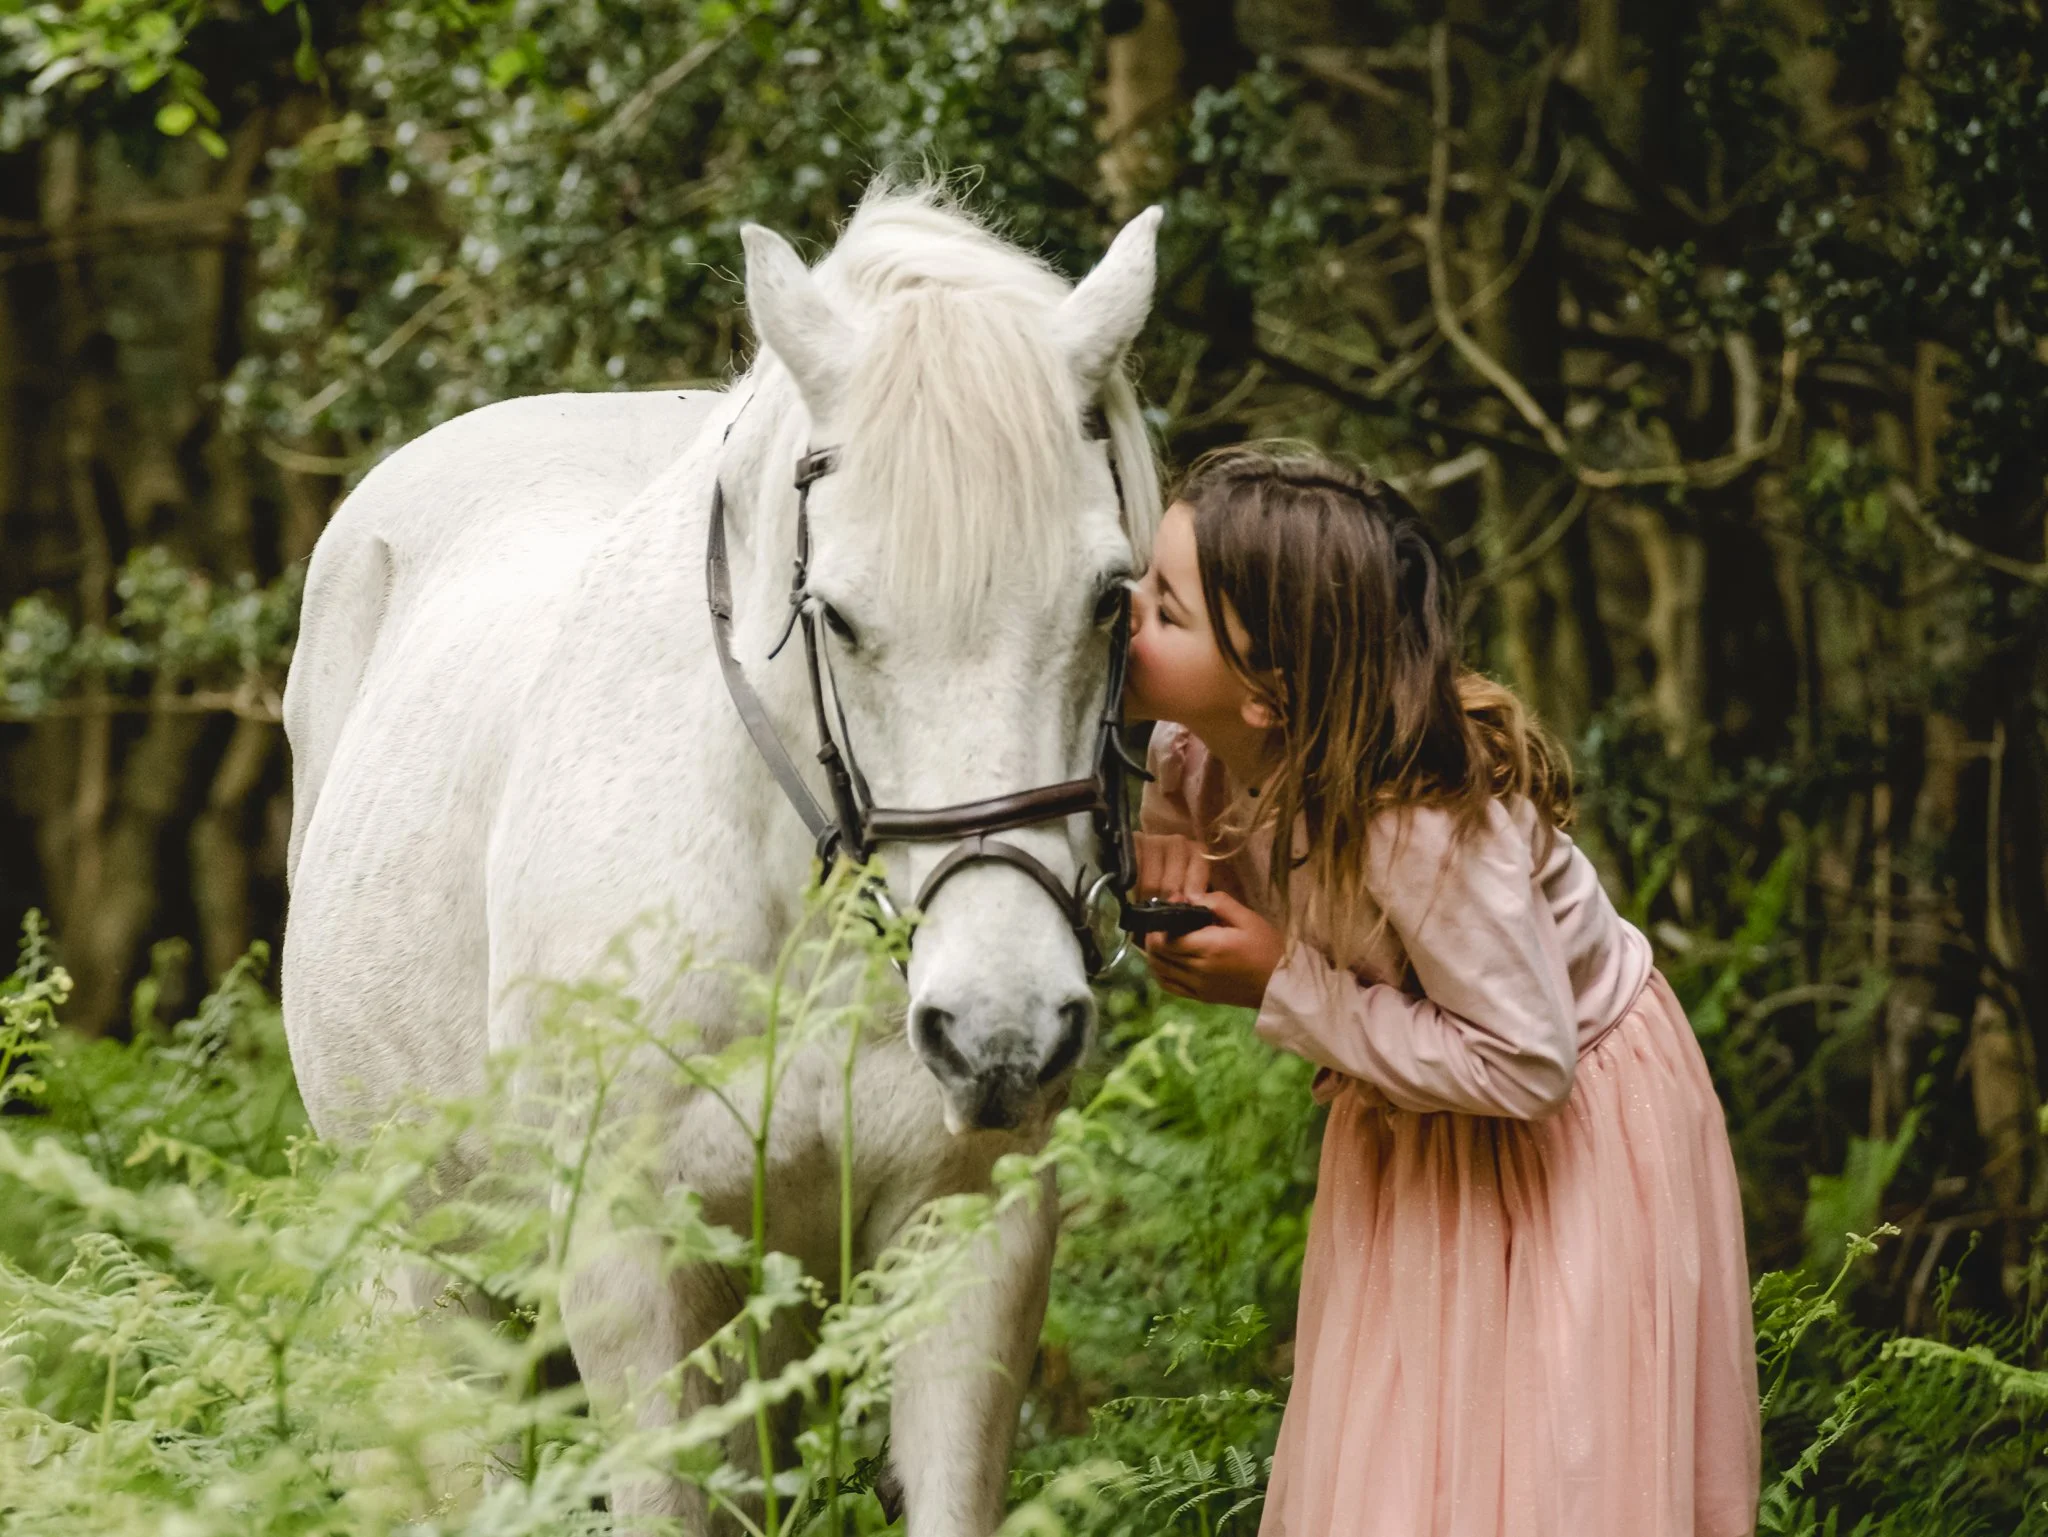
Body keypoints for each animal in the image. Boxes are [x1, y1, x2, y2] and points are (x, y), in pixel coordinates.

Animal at [279, 189, 1163, 1530]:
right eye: (834, 614)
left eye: (1110, 599)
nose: (998, 1029)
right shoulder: (629, 1270)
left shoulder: (967, 1241)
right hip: (434, 1273)